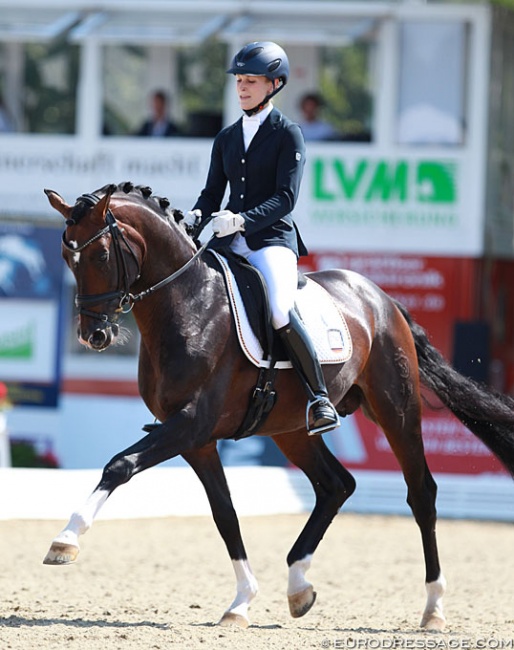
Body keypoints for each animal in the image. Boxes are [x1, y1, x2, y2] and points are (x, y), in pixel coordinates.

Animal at [43, 181, 512, 628]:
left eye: (102, 254)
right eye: (68, 258)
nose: (94, 336)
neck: (190, 304)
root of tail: (383, 300)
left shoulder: (190, 424)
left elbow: (119, 465)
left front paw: (65, 540)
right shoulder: (197, 441)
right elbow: (225, 513)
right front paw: (241, 602)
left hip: (396, 411)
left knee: (421, 494)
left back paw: (434, 609)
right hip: (292, 429)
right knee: (337, 485)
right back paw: (299, 586)